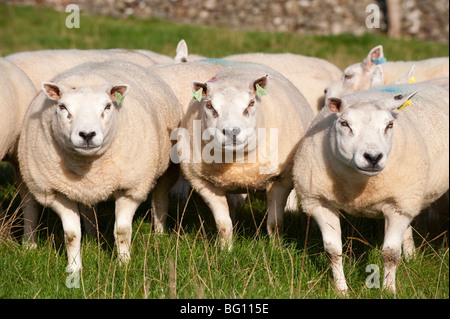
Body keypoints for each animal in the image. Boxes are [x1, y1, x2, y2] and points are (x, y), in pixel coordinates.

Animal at [17, 58, 183, 274]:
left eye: (107, 106)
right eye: (62, 107)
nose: (87, 134)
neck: (88, 165)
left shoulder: (130, 188)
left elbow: (122, 231)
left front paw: (123, 264)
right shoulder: (56, 193)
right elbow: (71, 235)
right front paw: (74, 268)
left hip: (166, 168)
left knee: (160, 198)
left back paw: (160, 234)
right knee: (87, 210)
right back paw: (91, 236)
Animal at [174, 62, 314, 248]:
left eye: (251, 103)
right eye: (209, 106)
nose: (231, 132)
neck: (237, 158)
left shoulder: (279, 180)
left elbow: (275, 223)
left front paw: (276, 248)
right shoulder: (203, 183)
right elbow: (223, 225)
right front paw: (225, 249)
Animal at [294, 82, 448, 296]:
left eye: (389, 125)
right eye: (344, 124)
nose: (373, 157)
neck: (358, 186)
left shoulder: (397, 206)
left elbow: (390, 254)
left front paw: (389, 290)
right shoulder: (319, 202)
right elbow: (333, 251)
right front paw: (341, 290)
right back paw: (411, 256)